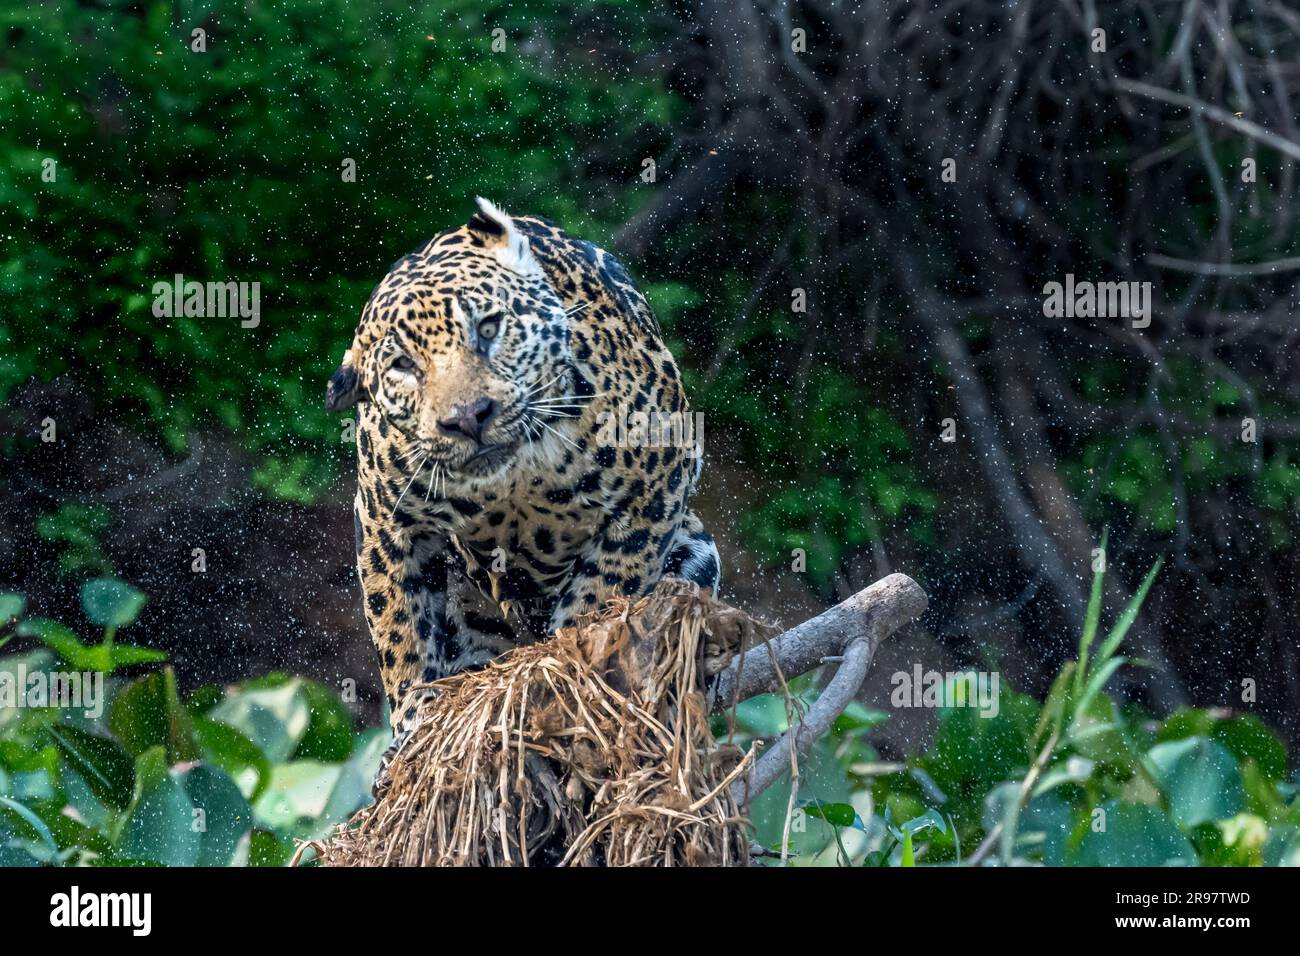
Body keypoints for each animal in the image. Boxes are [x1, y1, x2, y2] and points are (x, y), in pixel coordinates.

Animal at [324, 198, 720, 789]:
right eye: (404, 366)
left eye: (489, 328)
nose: (469, 417)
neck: (513, 477)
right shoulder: (386, 521)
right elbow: (401, 631)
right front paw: (413, 728)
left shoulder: (658, 479)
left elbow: (604, 592)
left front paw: (568, 672)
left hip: (696, 552)